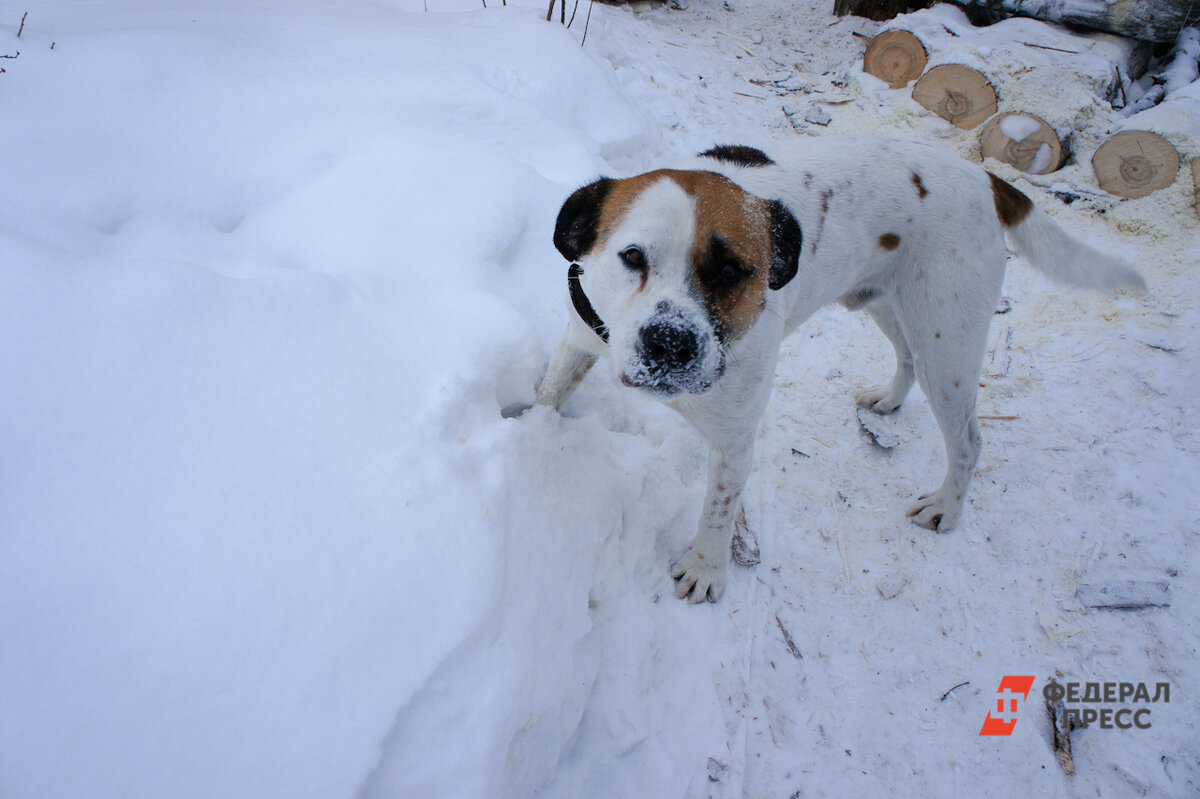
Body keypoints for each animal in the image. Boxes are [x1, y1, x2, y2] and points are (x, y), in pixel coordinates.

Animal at [535, 136, 1142, 599]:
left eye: (732, 271)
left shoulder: (735, 440)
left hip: (948, 340)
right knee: (906, 358)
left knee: (969, 439)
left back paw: (945, 507)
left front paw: (706, 568)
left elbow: (719, 509)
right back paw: (889, 400)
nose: (669, 343)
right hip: (887, 306)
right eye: (633, 256)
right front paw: (533, 435)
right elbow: (550, 394)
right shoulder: (579, 339)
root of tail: (985, 178)